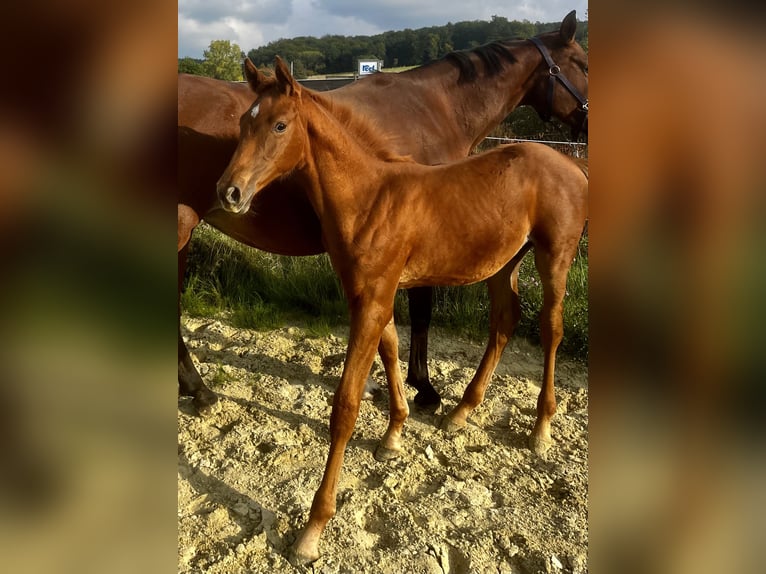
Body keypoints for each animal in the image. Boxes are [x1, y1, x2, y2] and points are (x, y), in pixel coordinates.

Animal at [178, 11, 588, 415]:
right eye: (583, 63)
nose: (587, 123)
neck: (436, 108)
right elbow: (420, 313)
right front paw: (423, 388)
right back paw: (199, 390)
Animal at [216, 56, 588, 564]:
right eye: (241, 123)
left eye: (279, 125)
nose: (229, 192)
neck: (369, 197)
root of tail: (573, 163)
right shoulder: (371, 294)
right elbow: (391, 350)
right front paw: (394, 435)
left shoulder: (373, 299)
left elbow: (346, 404)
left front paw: (312, 530)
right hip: (504, 261)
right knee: (505, 319)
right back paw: (461, 412)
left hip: (555, 256)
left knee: (551, 328)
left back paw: (541, 428)